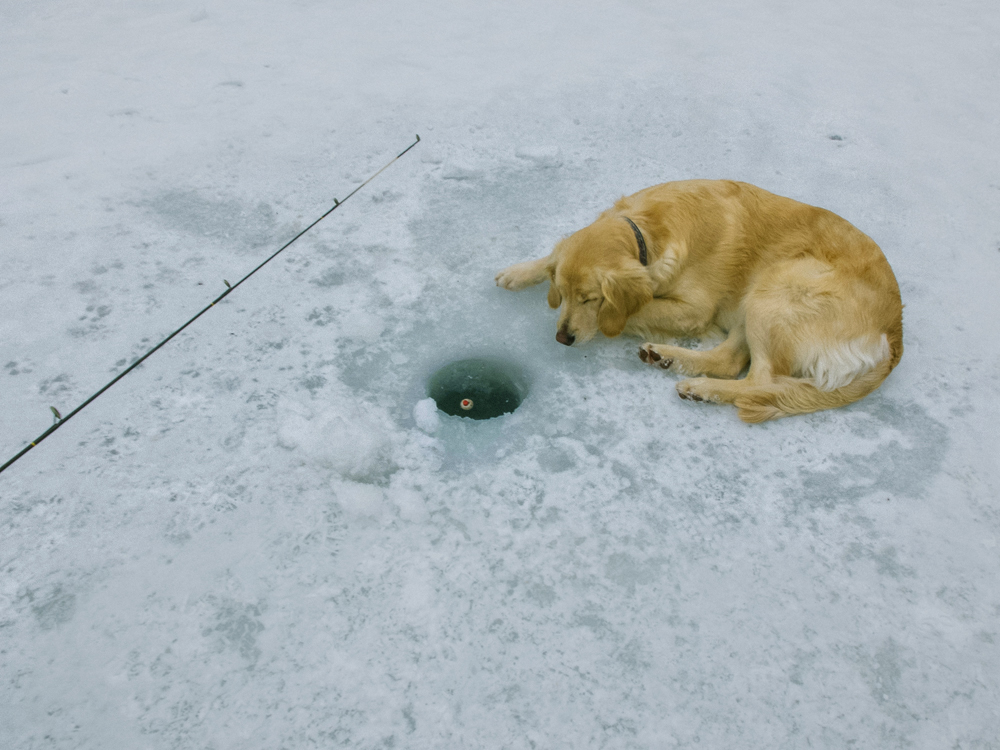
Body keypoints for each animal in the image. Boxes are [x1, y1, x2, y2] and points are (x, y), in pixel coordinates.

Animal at [496, 179, 904, 420]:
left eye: (591, 299)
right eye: (563, 294)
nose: (562, 338)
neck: (646, 231)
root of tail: (894, 335)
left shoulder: (694, 309)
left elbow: (632, 311)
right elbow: (553, 256)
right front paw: (519, 272)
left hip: (780, 285)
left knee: (758, 379)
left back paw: (700, 388)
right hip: (758, 300)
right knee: (729, 360)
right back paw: (668, 359)